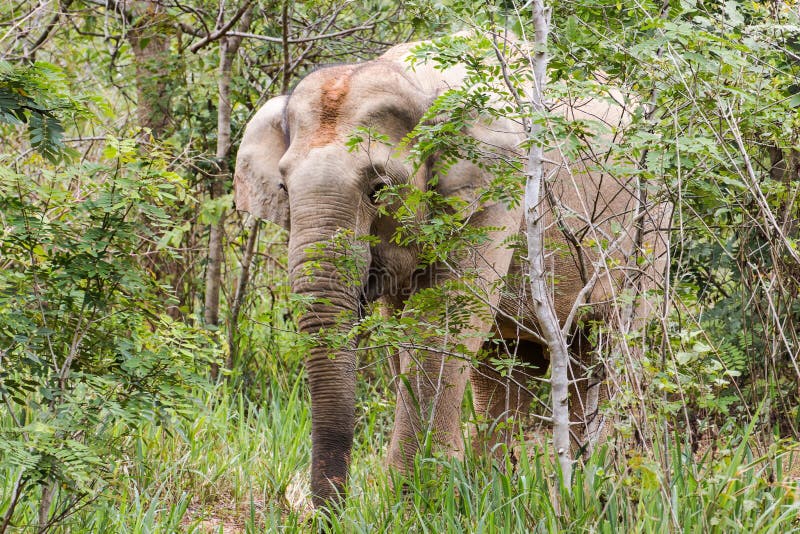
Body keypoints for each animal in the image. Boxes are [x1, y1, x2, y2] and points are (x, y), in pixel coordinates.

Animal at [236, 35, 668, 508]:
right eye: (283, 187)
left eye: (378, 189)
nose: (332, 512)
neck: (413, 81)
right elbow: (407, 329)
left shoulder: (500, 187)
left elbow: (442, 319)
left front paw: (412, 498)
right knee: (506, 362)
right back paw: (507, 483)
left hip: (649, 231)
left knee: (609, 347)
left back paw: (594, 487)